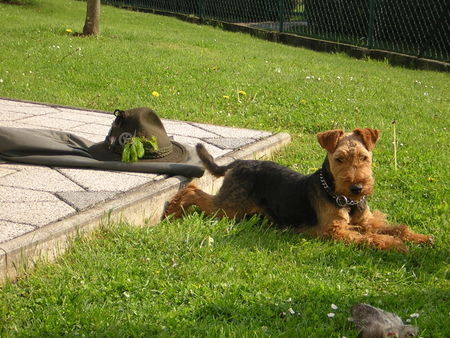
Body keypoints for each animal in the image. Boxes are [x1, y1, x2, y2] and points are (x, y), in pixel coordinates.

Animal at [165, 128, 432, 250]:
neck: (344, 199)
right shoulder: (334, 231)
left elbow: (396, 228)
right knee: (191, 190)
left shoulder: (366, 221)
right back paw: (172, 213)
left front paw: (421, 238)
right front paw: (396, 245)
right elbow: (370, 237)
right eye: (339, 159)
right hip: (229, 208)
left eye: (364, 157)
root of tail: (238, 163)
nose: (357, 188)